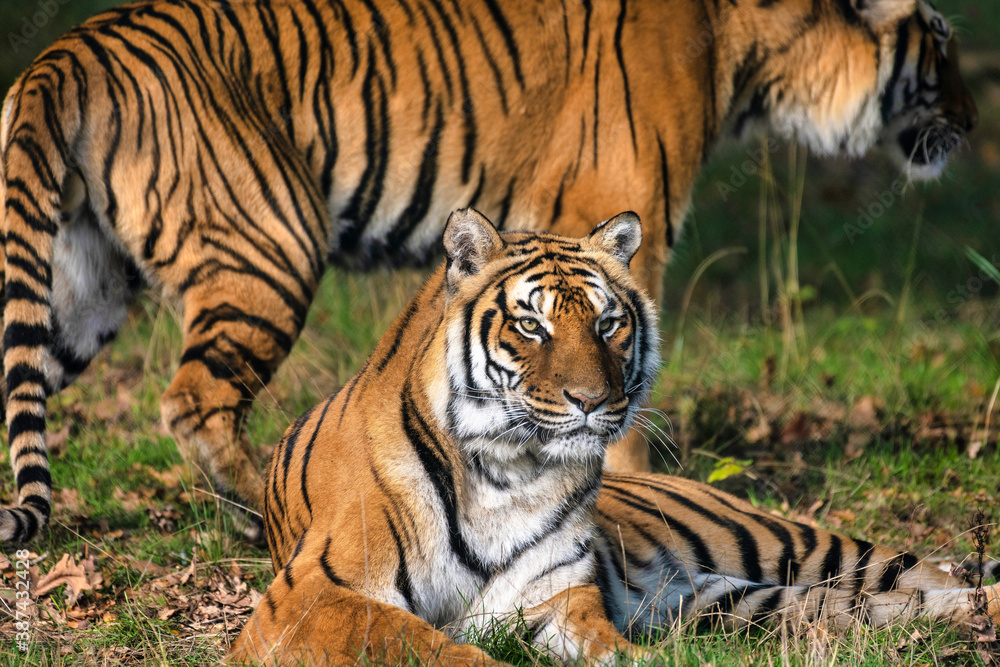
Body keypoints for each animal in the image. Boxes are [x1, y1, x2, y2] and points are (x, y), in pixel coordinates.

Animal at [0, 0, 978, 543]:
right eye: (942, 43)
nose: (973, 123)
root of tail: (64, 52)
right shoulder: (631, 207)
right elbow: (625, 379)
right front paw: (625, 477)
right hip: (269, 240)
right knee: (194, 401)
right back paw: (257, 508)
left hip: (78, 284)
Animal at [230, 210, 1000, 666]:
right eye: (532, 325)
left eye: (608, 324)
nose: (593, 402)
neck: (509, 472)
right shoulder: (311, 596)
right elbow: (431, 646)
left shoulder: (556, 600)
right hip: (738, 600)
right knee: (883, 607)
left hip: (796, 546)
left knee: (927, 576)